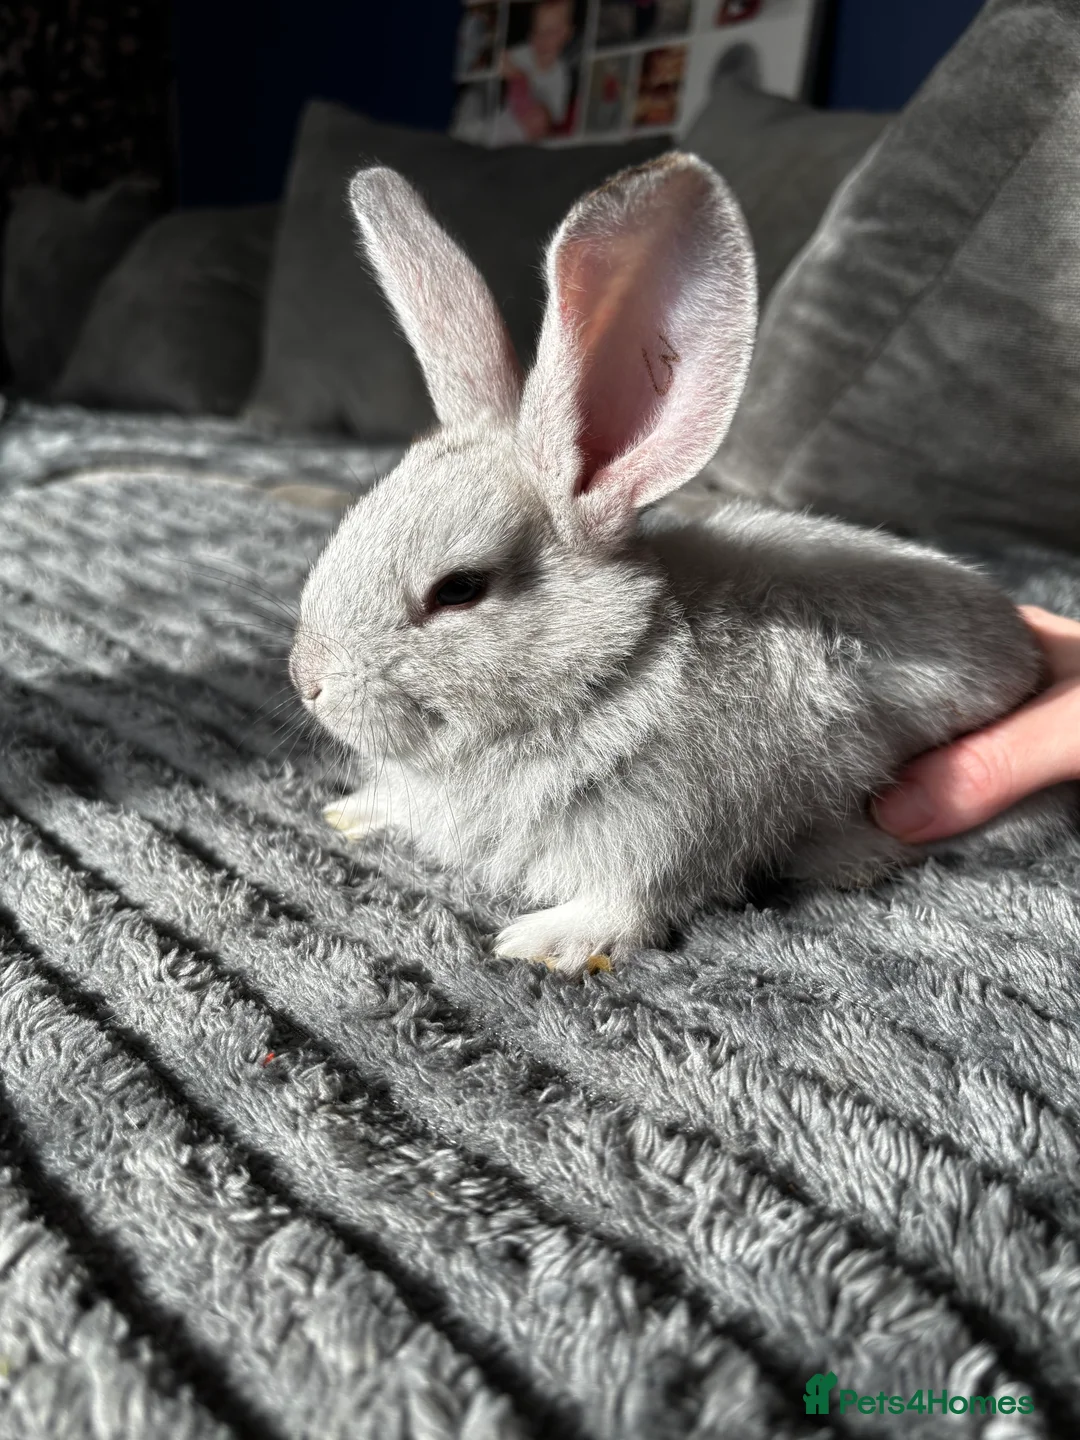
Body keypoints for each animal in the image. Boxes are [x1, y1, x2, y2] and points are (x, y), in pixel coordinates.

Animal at [289, 152, 1076, 976]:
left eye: (459, 590)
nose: (307, 682)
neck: (617, 668)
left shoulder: (673, 829)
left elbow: (632, 902)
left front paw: (542, 943)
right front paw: (351, 811)